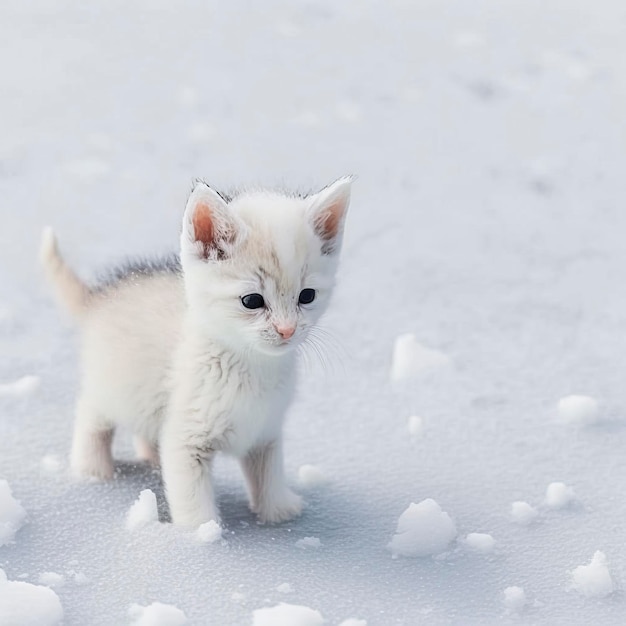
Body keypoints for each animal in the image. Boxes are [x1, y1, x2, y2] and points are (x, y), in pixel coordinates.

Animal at [40, 178, 352, 524]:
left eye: (307, 296)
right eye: (252, 301)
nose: (287, 330)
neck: (252, 367)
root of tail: (97, 298)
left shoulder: (265, 430)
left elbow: (268, 471)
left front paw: (278, 510)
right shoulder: (186, 436)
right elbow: (191, 495)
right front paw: (203, 532)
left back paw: (149, 456)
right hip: (110, 384)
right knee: (91, 414)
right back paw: (92, 470)